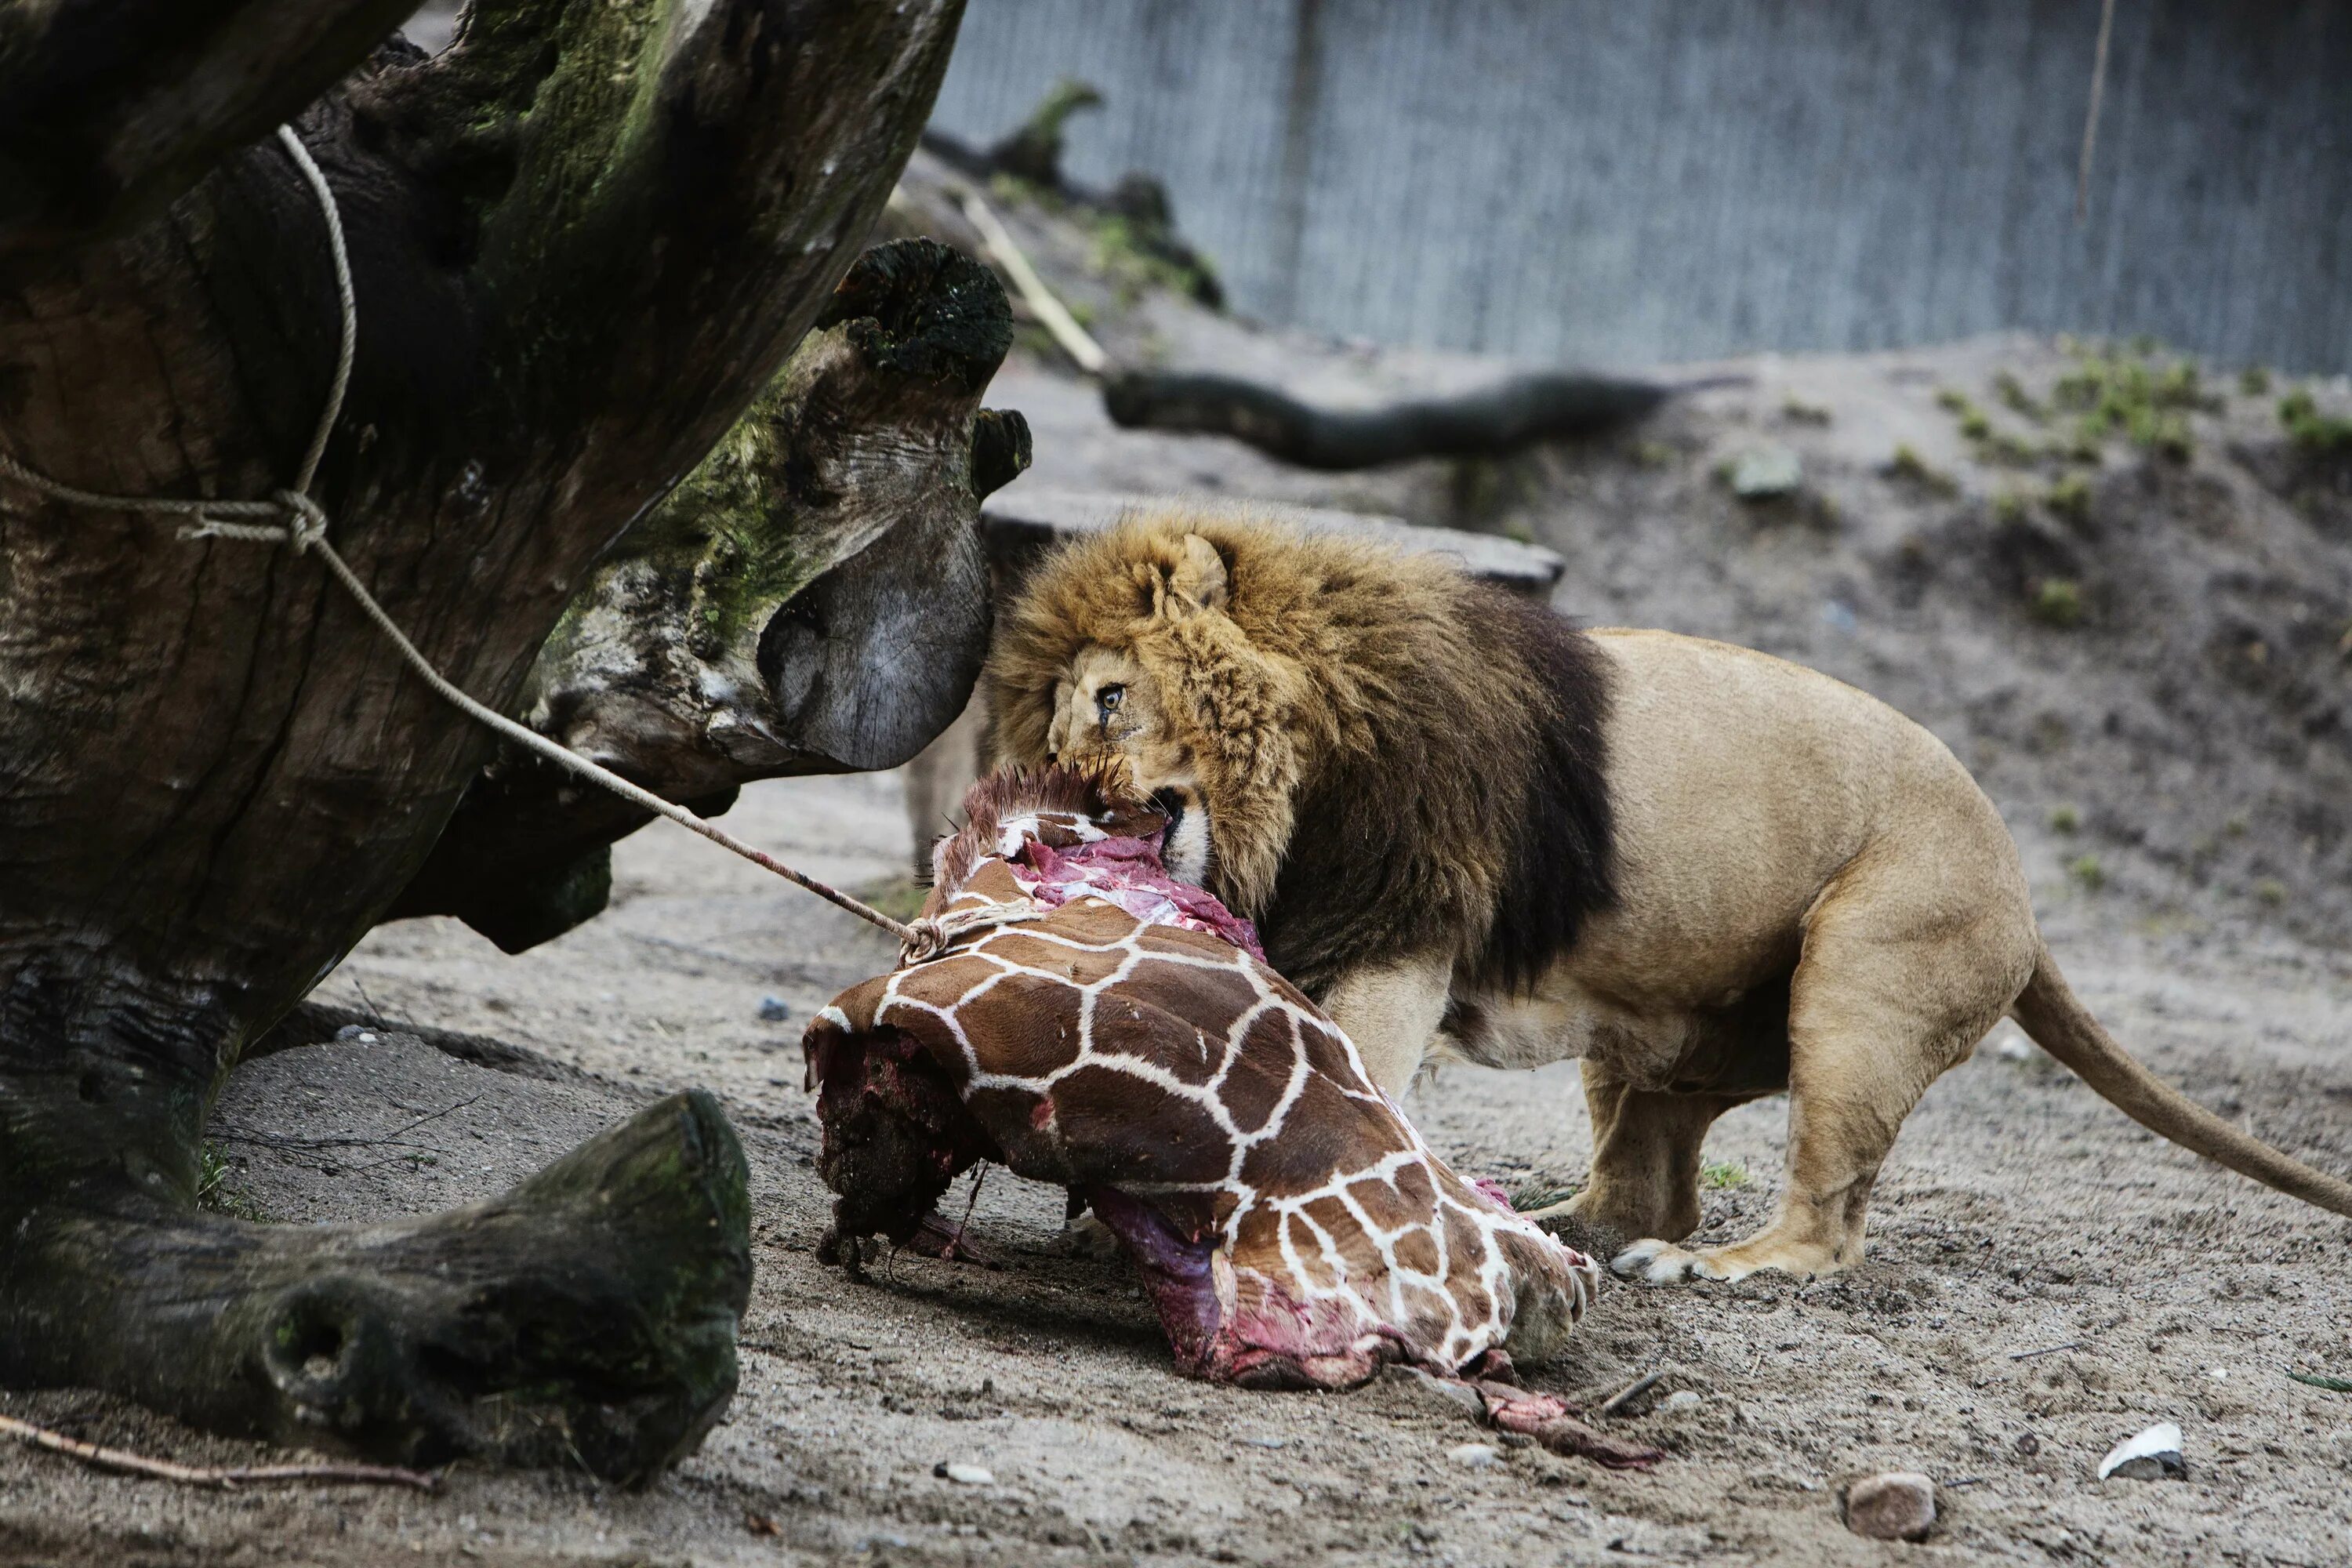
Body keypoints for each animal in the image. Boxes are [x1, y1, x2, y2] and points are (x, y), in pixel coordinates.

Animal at [983, 510, 2352, 1279]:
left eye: (1110, 701)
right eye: (1054, 731)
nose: (1072, 802)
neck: (1302, 776)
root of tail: (2021, 880)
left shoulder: (1401, 932)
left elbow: (1341, 1077)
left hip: (1865, 982)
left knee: (1825, 1226)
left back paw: (1722, 1270)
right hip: (1656, 1032)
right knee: (1651, 1183)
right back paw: (1563, 1226)